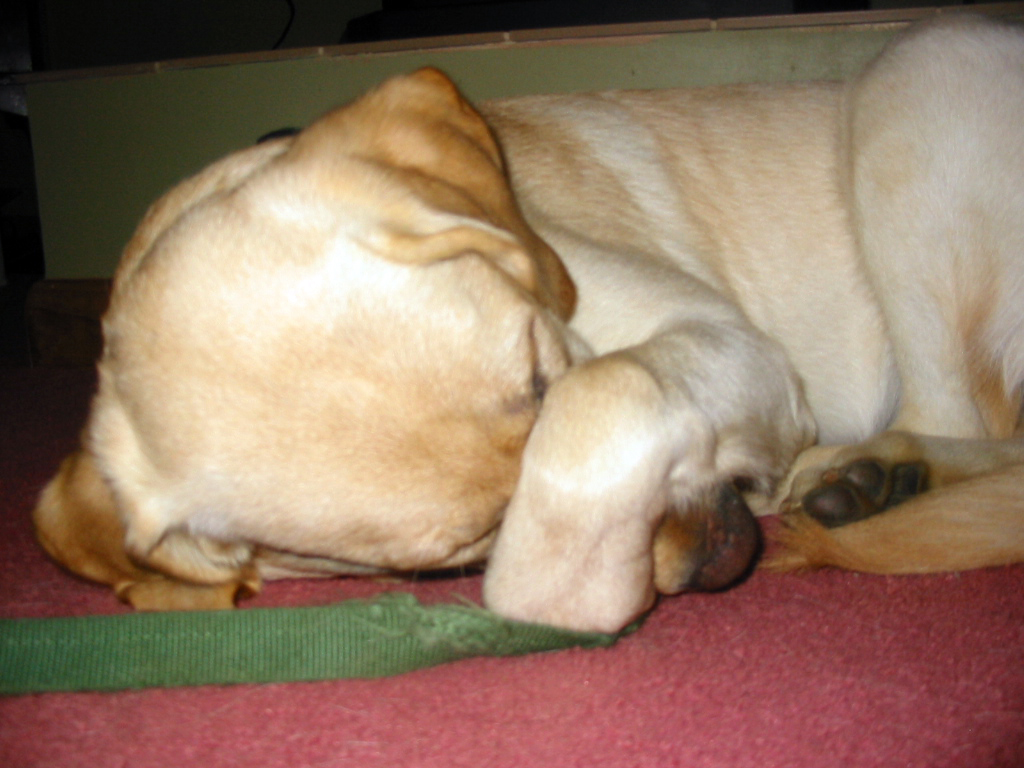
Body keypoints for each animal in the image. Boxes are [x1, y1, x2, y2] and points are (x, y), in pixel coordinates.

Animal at [32, 15, 1024, 634]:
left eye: (548, 377)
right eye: (462, 547)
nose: (718, 556)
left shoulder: (725, 338)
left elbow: (610, 393)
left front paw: (571, 586)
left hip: (919, 72)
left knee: (957, 416)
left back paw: (877, 470)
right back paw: (877, 479)